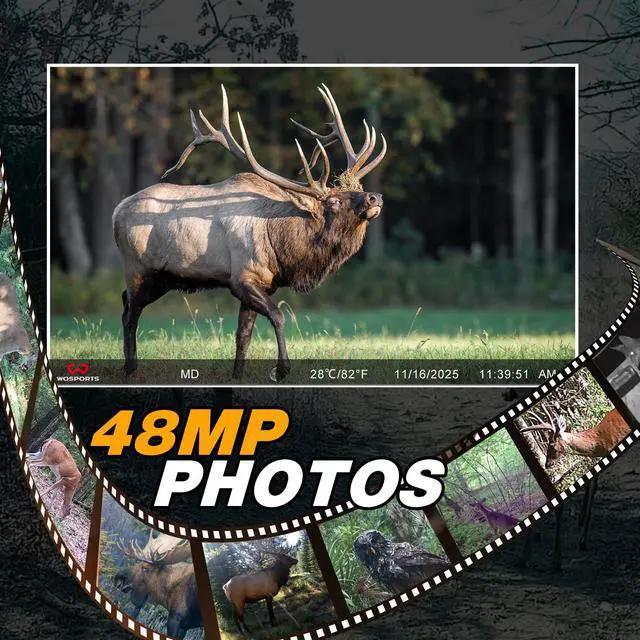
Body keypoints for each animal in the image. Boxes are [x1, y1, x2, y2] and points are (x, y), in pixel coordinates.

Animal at [113, 84, 387, 381]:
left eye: (358, 189)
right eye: (333, 202)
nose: (375, 197)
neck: (283, 248)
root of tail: (117, 211)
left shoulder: (264, 283)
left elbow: (243, 335)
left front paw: (237, 376)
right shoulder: (243, 277)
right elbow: (278, 316)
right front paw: (281, 369)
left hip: (162, 278)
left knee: (125, 302)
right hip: (138, 268)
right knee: (130, 313)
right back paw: (131, 369)